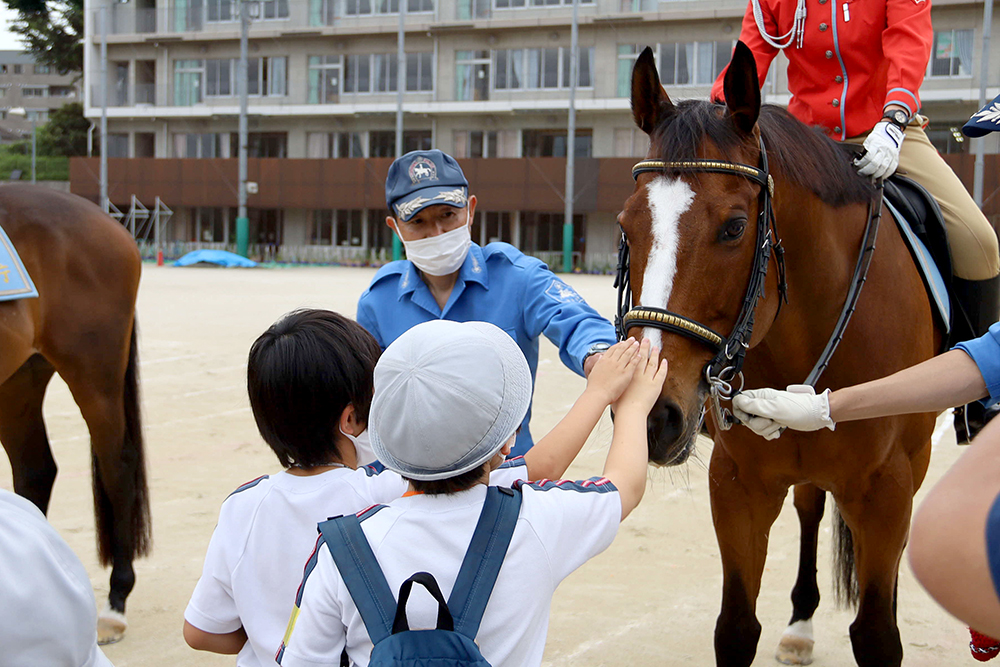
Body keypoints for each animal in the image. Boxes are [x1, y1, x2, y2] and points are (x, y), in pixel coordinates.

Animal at [620, 43, 940, 667]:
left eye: (735, 227)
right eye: (627, 224)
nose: (650, 416)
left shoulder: (886, 490)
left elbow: (877, 634)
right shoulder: (738, 485)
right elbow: (736, 627)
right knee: (812, 507)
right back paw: (801, 623)